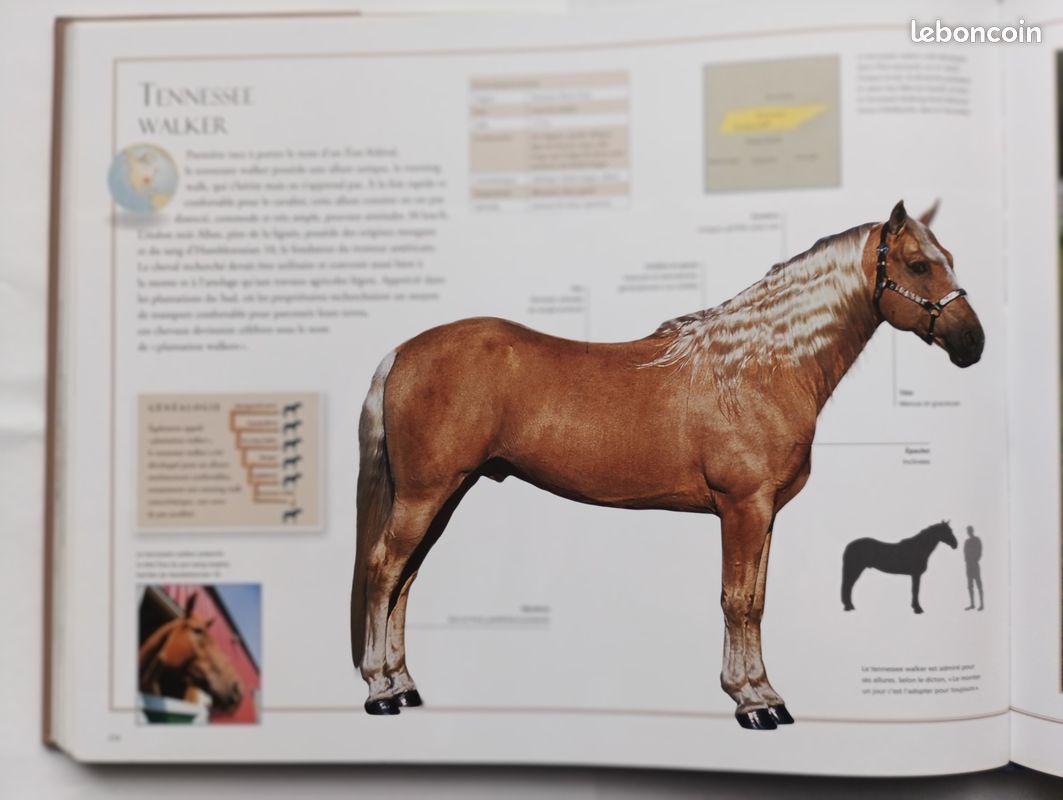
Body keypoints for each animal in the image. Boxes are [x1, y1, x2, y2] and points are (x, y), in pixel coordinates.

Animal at [349, 200, 984, 729]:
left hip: (445, 494)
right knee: (383, 569)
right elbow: (736, 601)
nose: (973, 343)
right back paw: (380, 692)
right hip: (425, 495)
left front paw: (764, 694)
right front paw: (751, 703)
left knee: (406, 578)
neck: (758, 370)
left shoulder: (766, 515)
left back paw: (405, 686)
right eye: (918, 265)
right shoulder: (743, 509)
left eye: (949, 259)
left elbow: (756, 601)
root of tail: (401, 352)